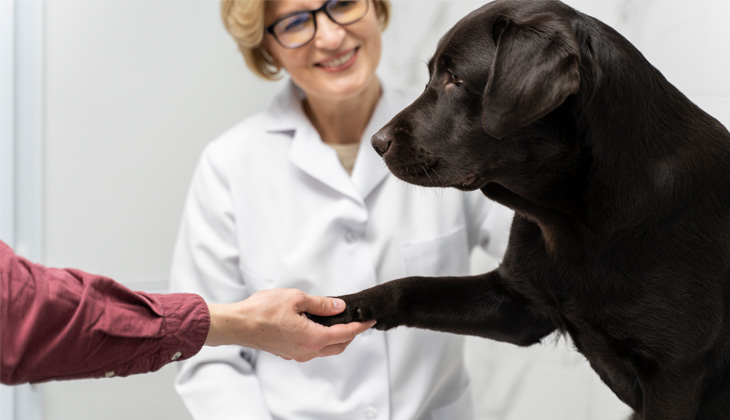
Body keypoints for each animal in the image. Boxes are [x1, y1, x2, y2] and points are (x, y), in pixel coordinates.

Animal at [310, 0, 728, 418]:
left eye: (456, 79)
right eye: (431, 76)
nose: (376, 143)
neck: (572, 219)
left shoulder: (673, 374)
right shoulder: (518, 306)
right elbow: (410, 285)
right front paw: (343, 307)